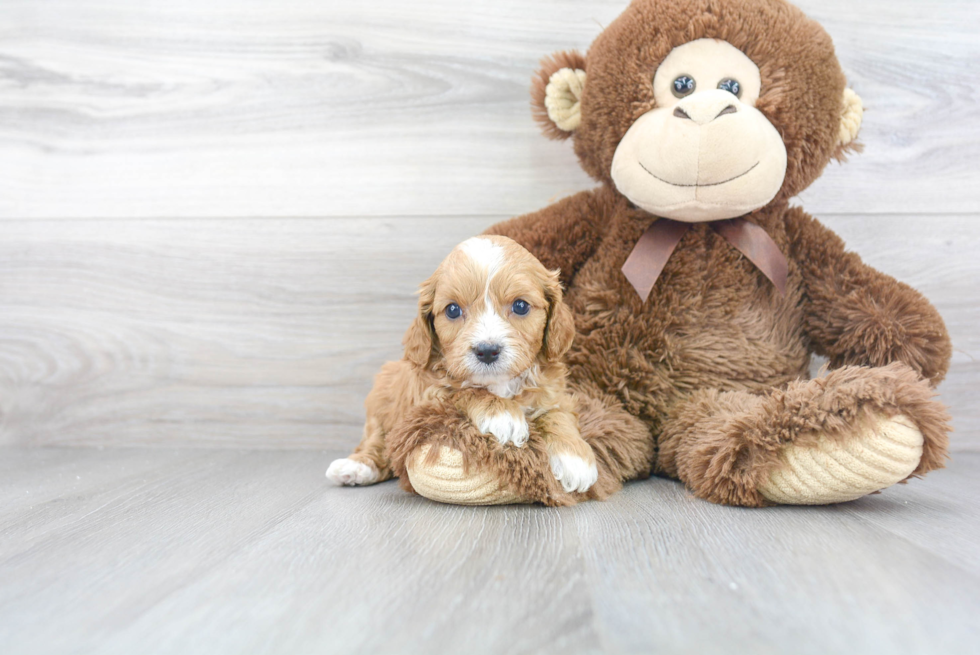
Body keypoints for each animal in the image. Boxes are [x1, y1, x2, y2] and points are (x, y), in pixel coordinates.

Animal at [328, 233, 596, 494]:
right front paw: (501, 414)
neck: (498, 384)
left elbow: (557, 413)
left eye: (520, 306)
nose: (487, 351)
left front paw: (575, 458)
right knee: (377, 442)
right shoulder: (428, 395)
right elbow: (466, 391)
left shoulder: (554, 392)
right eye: (453, 310)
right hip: (382, 399)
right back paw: (356, 467)